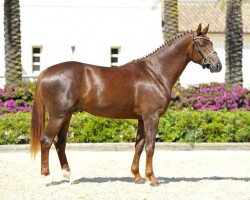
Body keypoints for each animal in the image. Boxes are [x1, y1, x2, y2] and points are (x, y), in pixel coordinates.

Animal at [30, 24, 222, 186]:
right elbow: (150, 146)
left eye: (211, 42)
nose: (217, 65)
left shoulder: (142, 119)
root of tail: (45, 72)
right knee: (46, 141)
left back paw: (71, 177)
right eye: (202, 44)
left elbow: (139, 146)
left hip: (67, 115)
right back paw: (47, 178)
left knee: (60, 143)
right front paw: (152, 178)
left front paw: (137, 176)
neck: (155, 73)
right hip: (58, 116)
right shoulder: (151, 117)